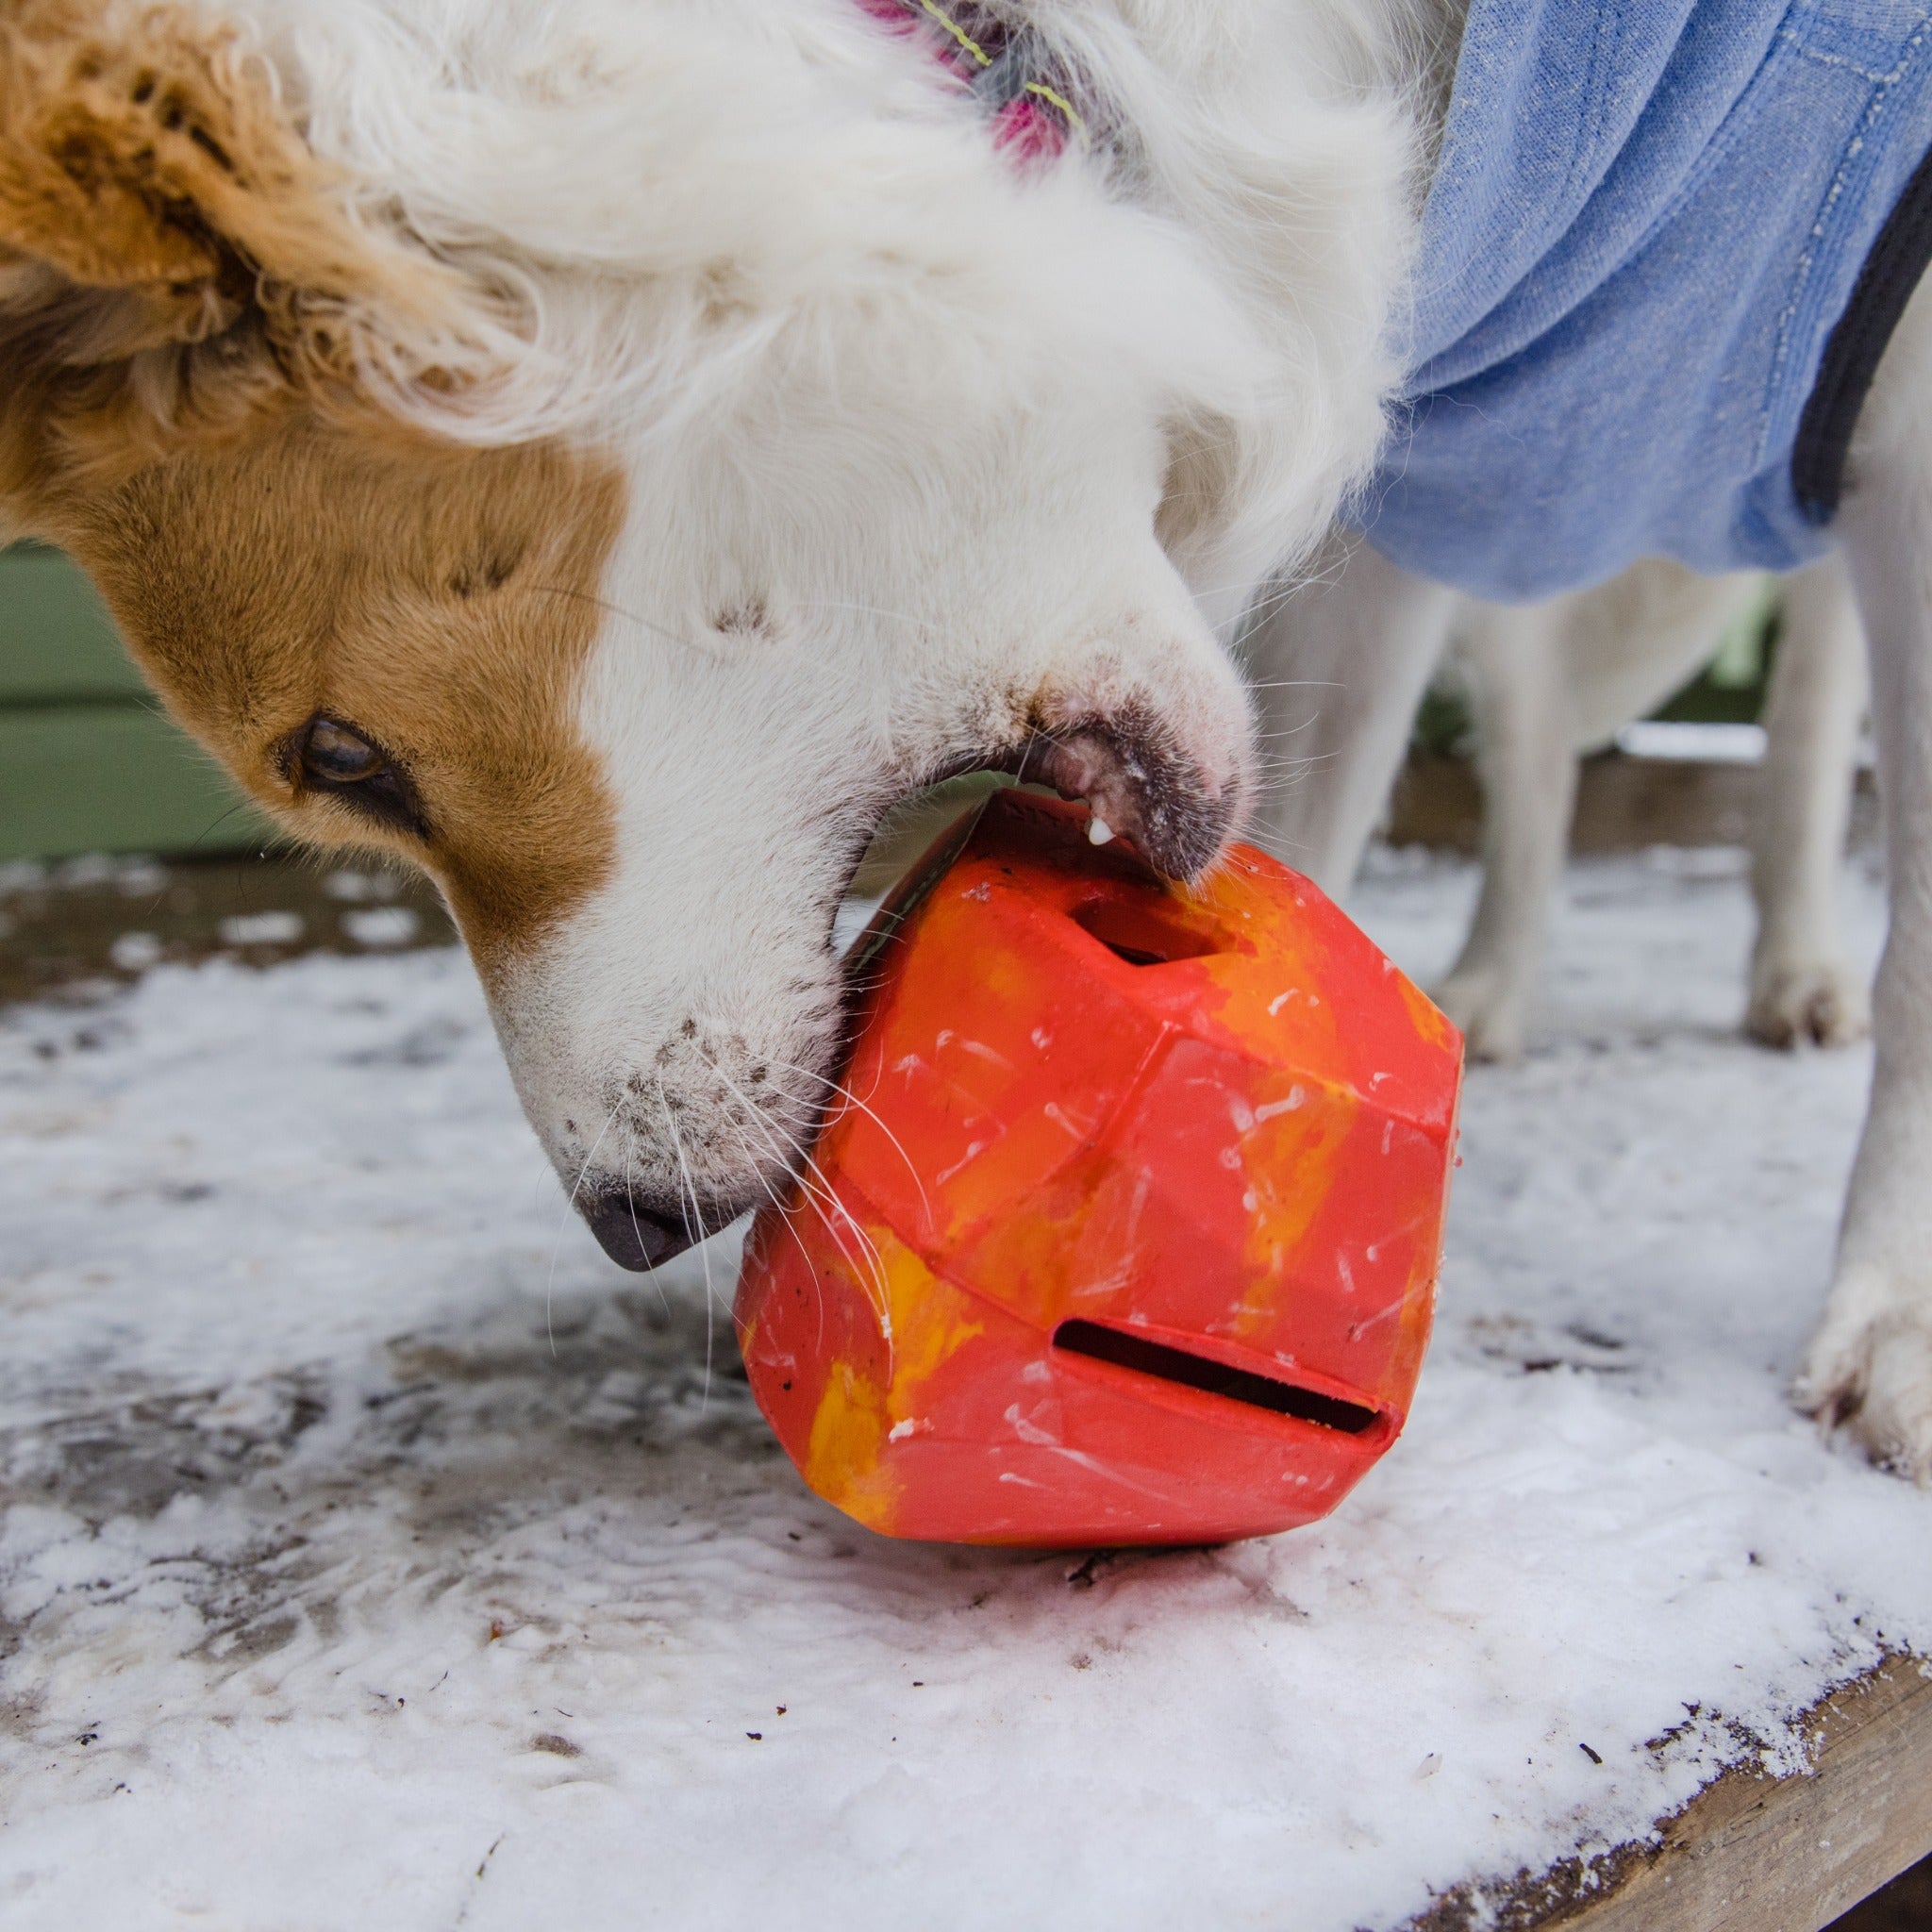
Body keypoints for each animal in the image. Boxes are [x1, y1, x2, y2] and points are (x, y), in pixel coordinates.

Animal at [0, 4, 1924, 1475]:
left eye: (342, 757)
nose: (626, 1228)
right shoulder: (1378, 551)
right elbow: (1315, 832)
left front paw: (1893, 1326)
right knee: (1531, 754)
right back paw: (1511, 981)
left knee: (1800, 711)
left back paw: (1792, 968)